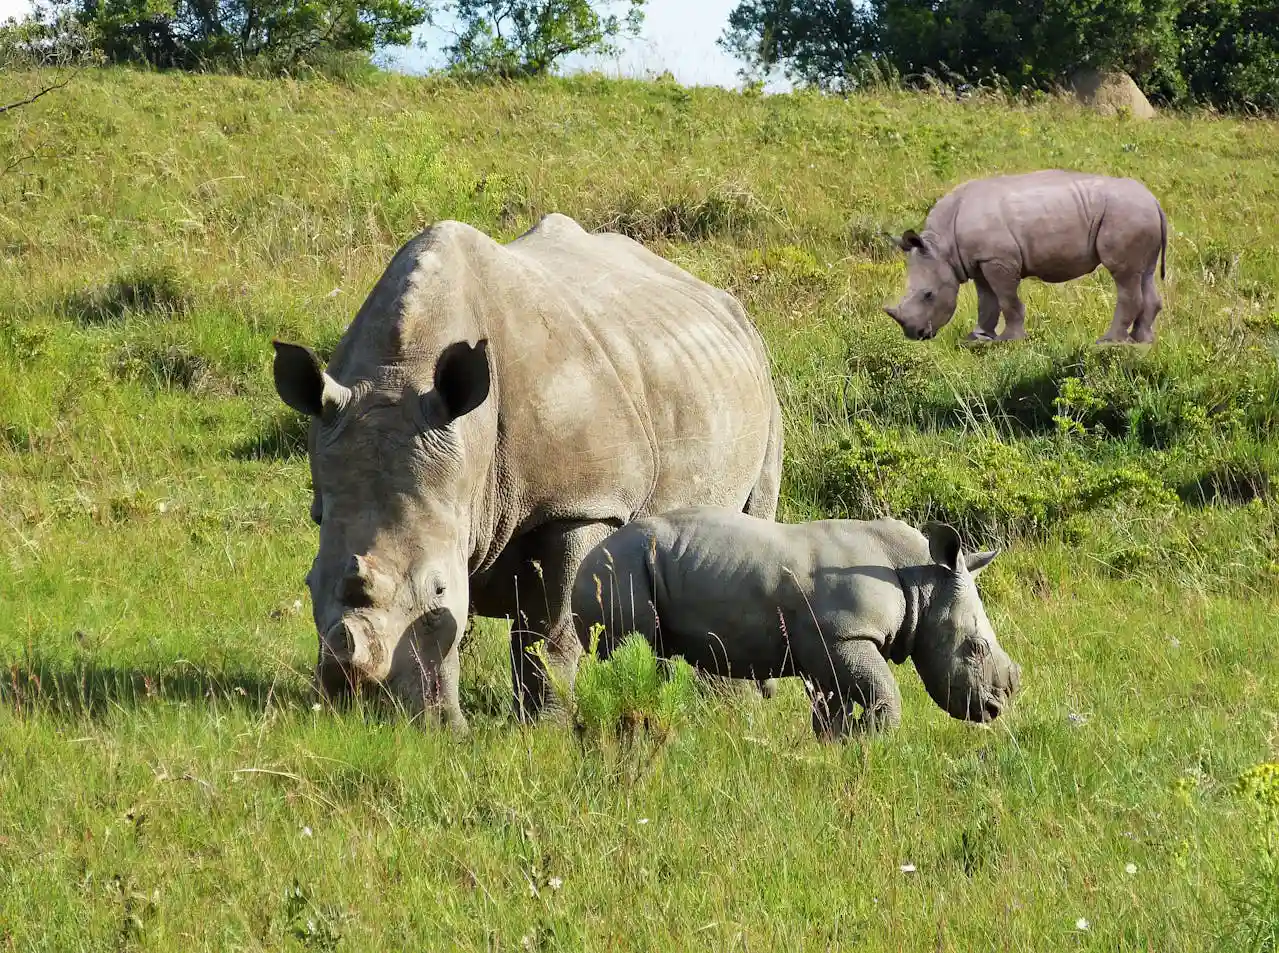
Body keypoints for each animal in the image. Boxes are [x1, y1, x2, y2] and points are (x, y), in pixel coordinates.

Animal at [570, 506, 1018, 736]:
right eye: (975, 649)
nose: (995, 709)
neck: (920, 578)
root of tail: (584, 561)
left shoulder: (827, 648)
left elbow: (833, 706)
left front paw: (843, 741)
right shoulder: (844, 635)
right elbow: (885, 690)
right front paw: (874, 735)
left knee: (653, 658)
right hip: (618, 571)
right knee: (632, 654)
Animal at [890, 171, 1171, 345]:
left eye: (928, 295)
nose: (915, 334)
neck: (942, 247)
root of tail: (1155, 201)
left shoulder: (998, 259)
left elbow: (1006, 299)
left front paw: (1009, 339)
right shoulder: (979, 260)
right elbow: (986, 300)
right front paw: (978, 337)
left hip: (1126, 214)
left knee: (1124, 275)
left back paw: (1108, 341)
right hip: (1139, 215)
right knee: (1143, 273)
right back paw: (1141, 341)